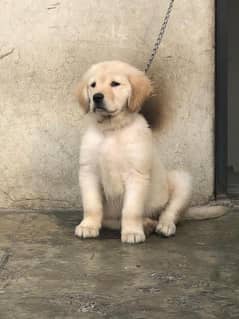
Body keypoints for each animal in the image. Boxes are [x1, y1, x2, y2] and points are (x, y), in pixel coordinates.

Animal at [75, 60, 227, 245]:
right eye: (93, 85)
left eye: (115, 84)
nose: (97, 97)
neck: (112, 129)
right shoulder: (89, 172)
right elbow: (92, 206)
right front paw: (88, 226)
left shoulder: (136, 174)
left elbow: (131, 209)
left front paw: (132, 232)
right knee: (112, 220)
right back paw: (147, 224)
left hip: (181, 180)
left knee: (169, 213)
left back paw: (163, 226)